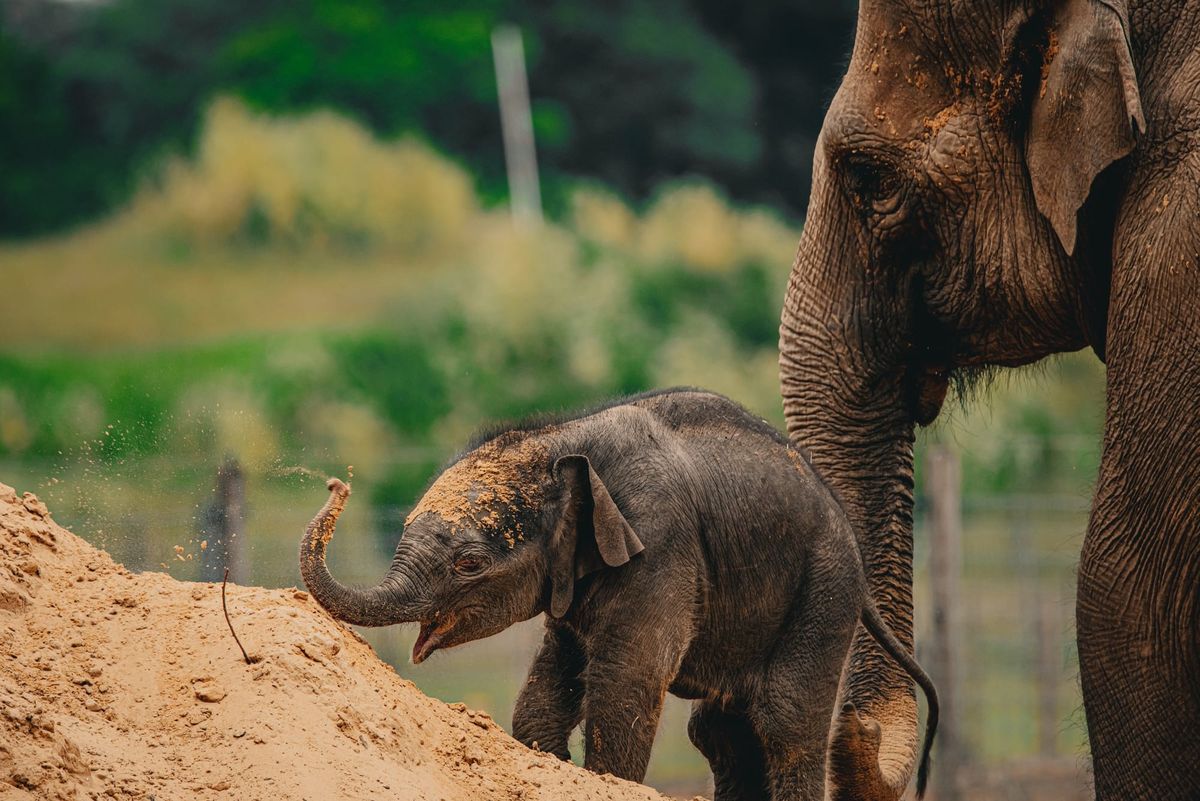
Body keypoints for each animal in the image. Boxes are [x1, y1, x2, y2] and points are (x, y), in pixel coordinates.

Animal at [300, 389, 938, 800]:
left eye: (470, 564)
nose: (336, 483)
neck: (562, 441)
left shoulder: (658, 543)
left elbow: (625, 677)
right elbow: (553, 679)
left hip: (825, 586)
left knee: (784, 722)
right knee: (721, 731)